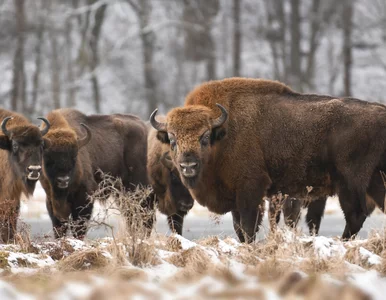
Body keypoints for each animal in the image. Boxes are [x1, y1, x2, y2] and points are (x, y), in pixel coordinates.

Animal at [40, 108, 152, 239]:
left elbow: (79, 227)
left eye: (74, 157)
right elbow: (59, 227)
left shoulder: (84, 197)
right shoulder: (50, 199)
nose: (63, 180)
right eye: (48, 158)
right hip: (122, 194)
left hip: (139, 189)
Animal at [151, 77, 386, 241]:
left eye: (205, 137)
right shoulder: (237, 196)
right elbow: (239, 228)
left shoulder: (251, 190)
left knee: (355, 214)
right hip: (376, 180)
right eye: (172, 139)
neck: (224, 134)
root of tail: (380, 111)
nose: (188, 165)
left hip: (350, 182)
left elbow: (248, 227)